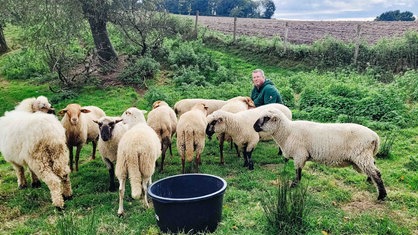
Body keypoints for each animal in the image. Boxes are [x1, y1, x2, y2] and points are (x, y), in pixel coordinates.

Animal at [253, 108, 386, 200]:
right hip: (365, 156)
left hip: (361, 154)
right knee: (373, 167)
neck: (287, 132)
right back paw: (369, 181)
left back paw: (381, 195)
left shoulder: (300, 154)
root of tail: (375, 137)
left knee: (376, 173)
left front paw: (294, 185)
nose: (254, 127)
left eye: (266, 118)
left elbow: (298, 172)